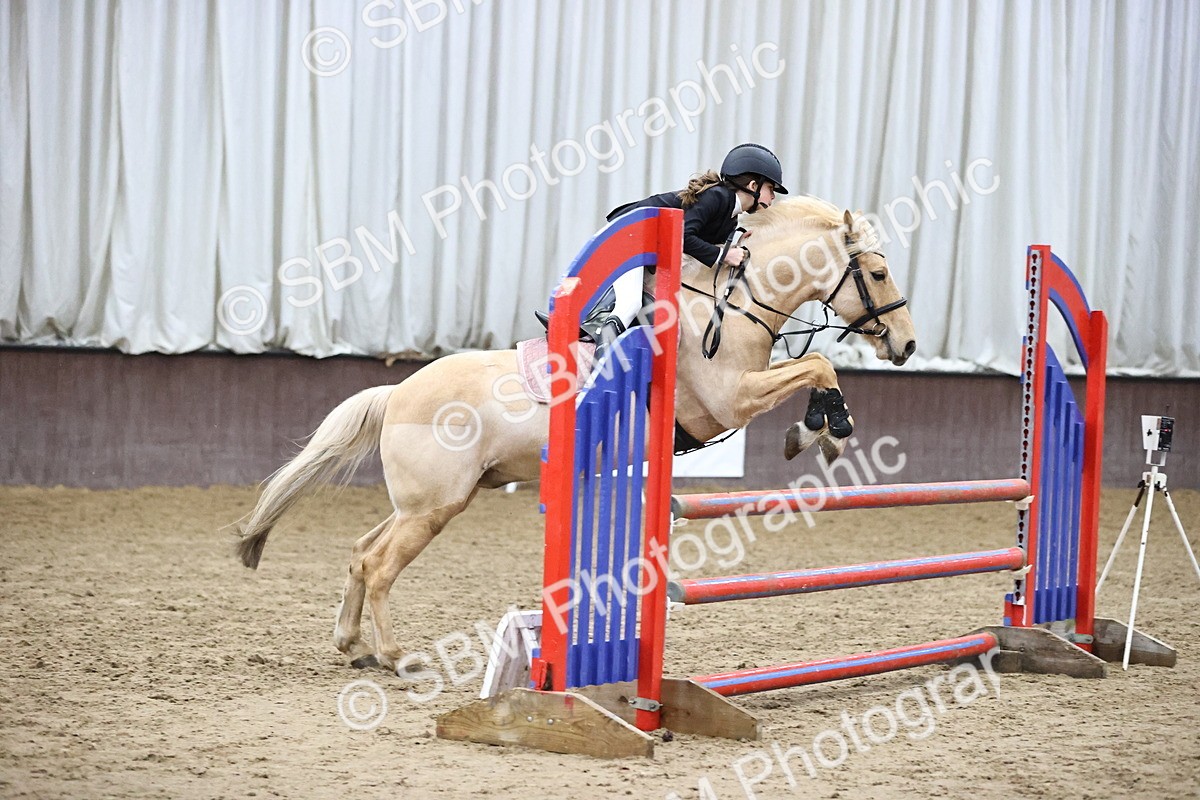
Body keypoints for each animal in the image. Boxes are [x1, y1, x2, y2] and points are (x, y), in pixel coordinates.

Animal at [234, 195, 917, 672]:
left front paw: (817, 429)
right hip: (433, 506)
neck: (733, 299)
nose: (908, 346)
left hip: (431, 500)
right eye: (880, 274)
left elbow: (813, 365)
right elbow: (819, 363)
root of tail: (396, 391)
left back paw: (352, 645)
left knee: (359, 550)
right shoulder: (728, 401)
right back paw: (397, 657)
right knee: (377, 566)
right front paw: (826, 430)